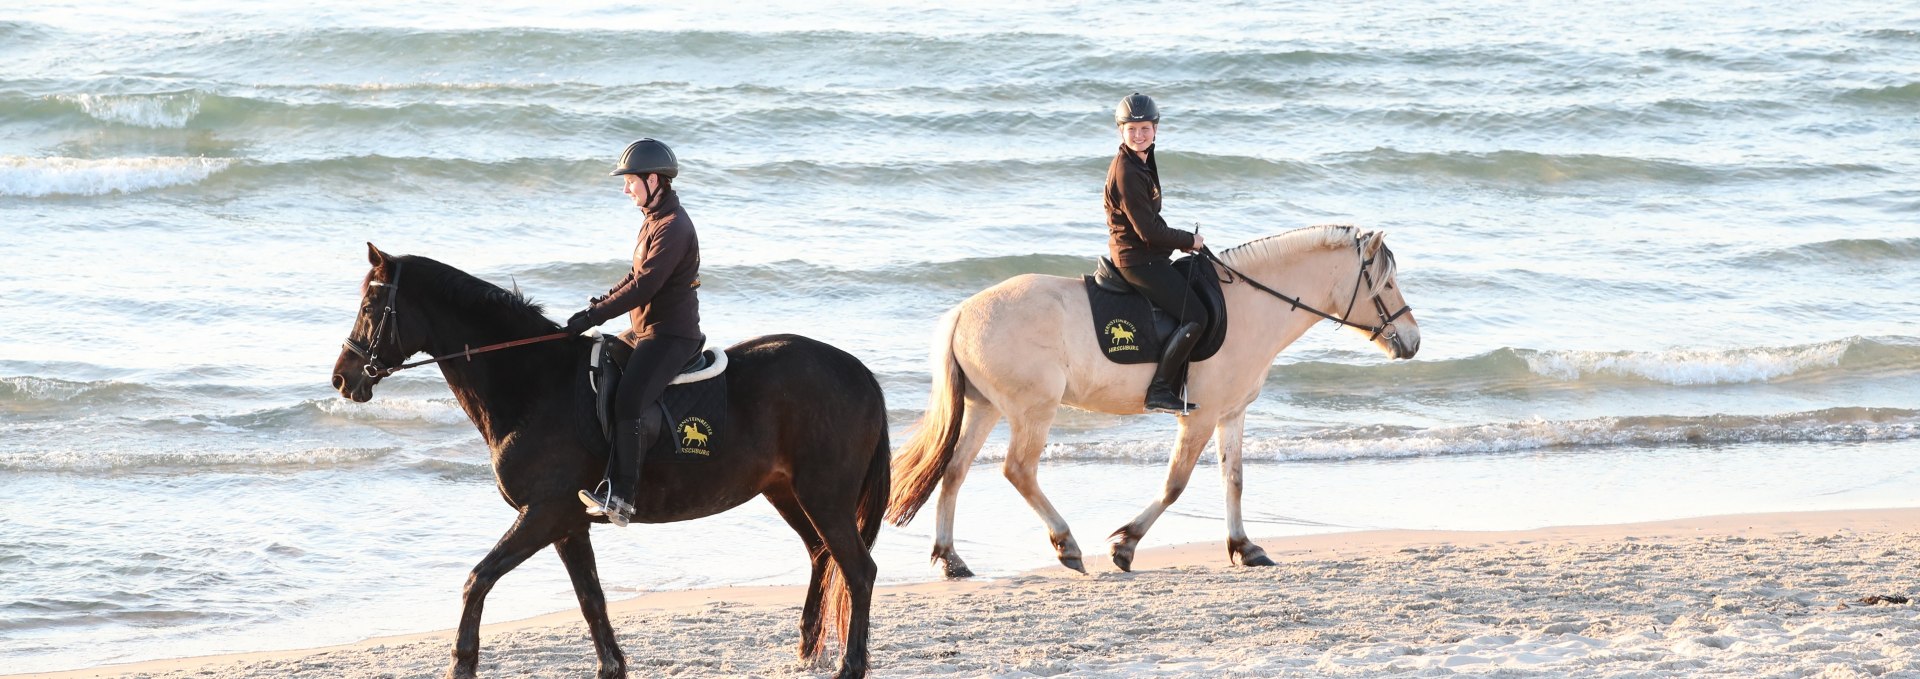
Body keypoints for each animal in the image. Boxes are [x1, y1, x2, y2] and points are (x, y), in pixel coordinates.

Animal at [332, 245, 890, 679]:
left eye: (371, 304)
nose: (342, 377)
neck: (534, 384)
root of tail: (860, 372)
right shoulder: (568, 523)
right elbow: (591, 599)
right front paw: (612, 666)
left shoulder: (544, 513)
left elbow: (479, 578)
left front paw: (461, 662)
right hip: (786, 491)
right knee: (822, 554)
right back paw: (808, 648)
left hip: (824, 496)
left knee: (858, 569)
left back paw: (850, 665)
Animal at [890, 225, 1420, 575]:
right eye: (1387, 283)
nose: (1412, 342)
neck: (1251, 306)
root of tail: (962, 312)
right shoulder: (1199, 417)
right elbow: (1175, 484)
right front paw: (1125, 546)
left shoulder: (1232, 414)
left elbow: (1234, 480)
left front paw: (1244, 547)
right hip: (1031, 409)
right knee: (1018, 470)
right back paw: (1066, 545)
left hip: (987, 407)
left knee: (955, 471)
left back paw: (951, 559)